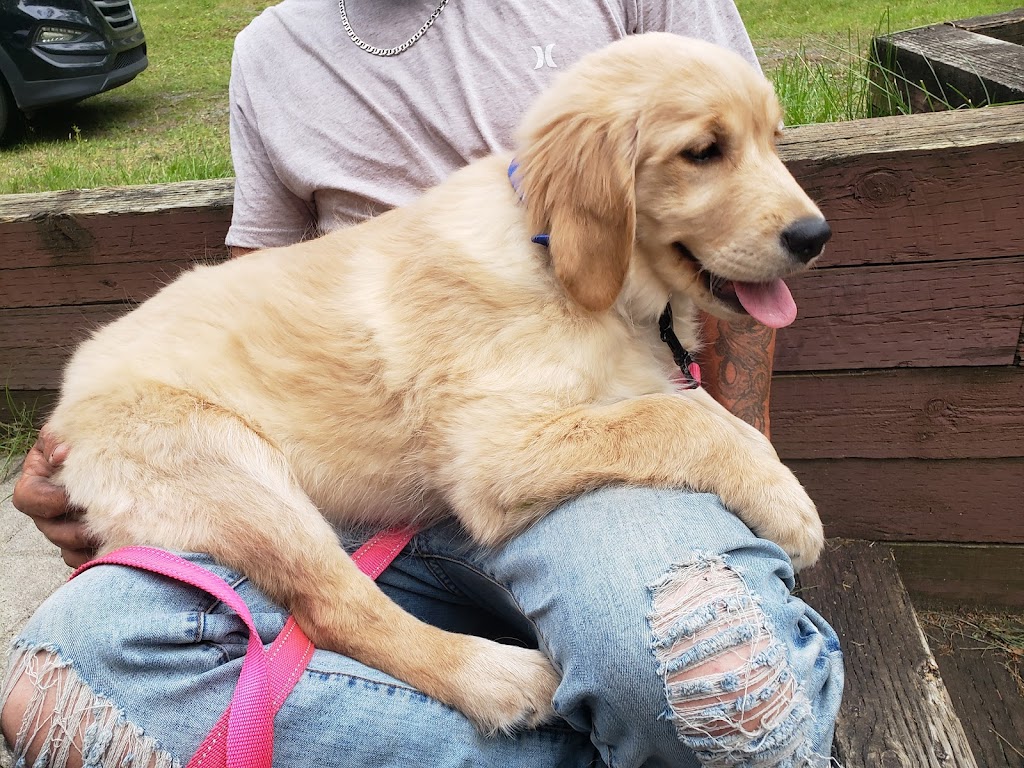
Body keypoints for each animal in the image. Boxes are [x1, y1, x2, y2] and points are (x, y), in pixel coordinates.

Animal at [51, 33, 827, 737]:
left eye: (773, 140)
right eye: (704, 152)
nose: (815, 236)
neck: (553, 256)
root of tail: (66, 398)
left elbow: (709, 413)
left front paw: (774, 480)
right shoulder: (490, 455)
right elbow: (669, 418)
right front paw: (791, 509)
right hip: (229, 466)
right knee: (337, 607)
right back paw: (497, 678)